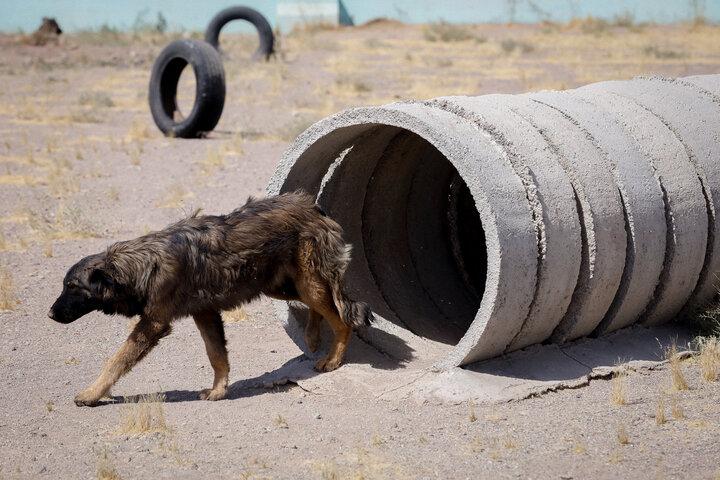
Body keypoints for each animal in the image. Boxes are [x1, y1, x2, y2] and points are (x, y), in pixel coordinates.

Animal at [48, 191, 374, 404]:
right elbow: (217, 356)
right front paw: (218, 391)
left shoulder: (153, 325)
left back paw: (332, 360)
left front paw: (91, 394)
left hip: (305, 284)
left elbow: (116, 361)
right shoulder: (205, 314)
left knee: (342, 319)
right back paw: (312, 338)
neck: (142, 265)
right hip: (280, 286)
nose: (50, 314)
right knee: (322, 308)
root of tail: (313, 207)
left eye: (72, 287)